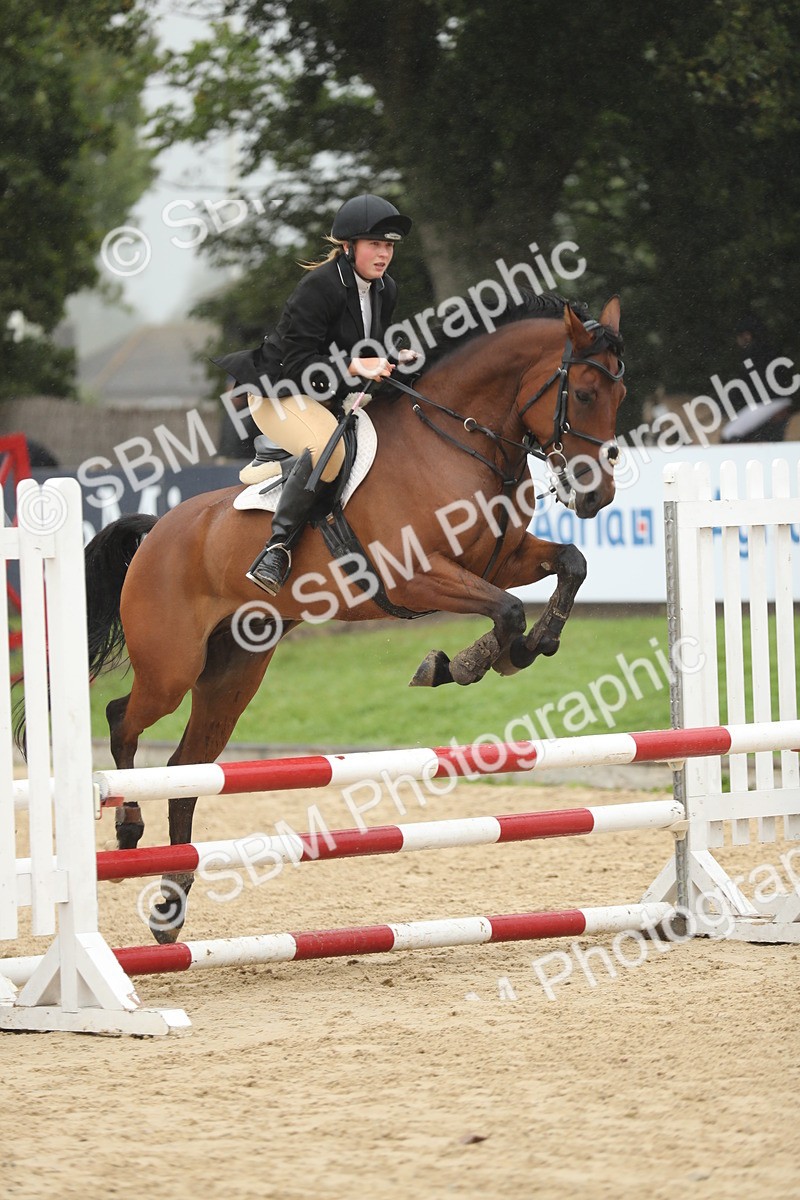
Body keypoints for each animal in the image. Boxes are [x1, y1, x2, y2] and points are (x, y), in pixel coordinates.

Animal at [84, 293, 626, 941]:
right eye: (586, 393)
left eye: (621, 393)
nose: (597, 496)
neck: (455, 441)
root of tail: (156, 532)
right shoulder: (417, 575)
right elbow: (508, 610)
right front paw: (463, 663)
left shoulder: (504, 560)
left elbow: (570, 565)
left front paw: (526, 647)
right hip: (171, 668)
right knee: (122, 721)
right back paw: (128, 830)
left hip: (232, 673)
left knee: (185, 770)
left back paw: (171, 902)